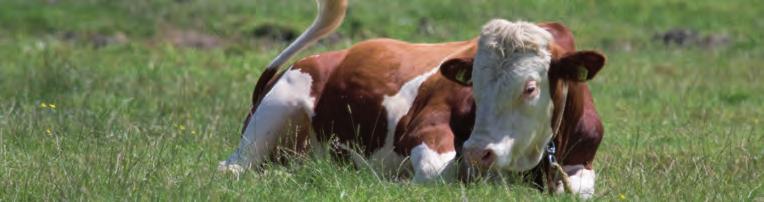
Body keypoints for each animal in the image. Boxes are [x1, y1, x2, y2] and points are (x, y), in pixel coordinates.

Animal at [218, 0, 604, 198]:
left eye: (530, 87)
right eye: (474, 86)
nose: (477, 152)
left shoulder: (581, 160)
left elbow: (578, 189)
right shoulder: (424, 128)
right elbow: (437, 173)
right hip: (277, 110)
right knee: (233, 167)